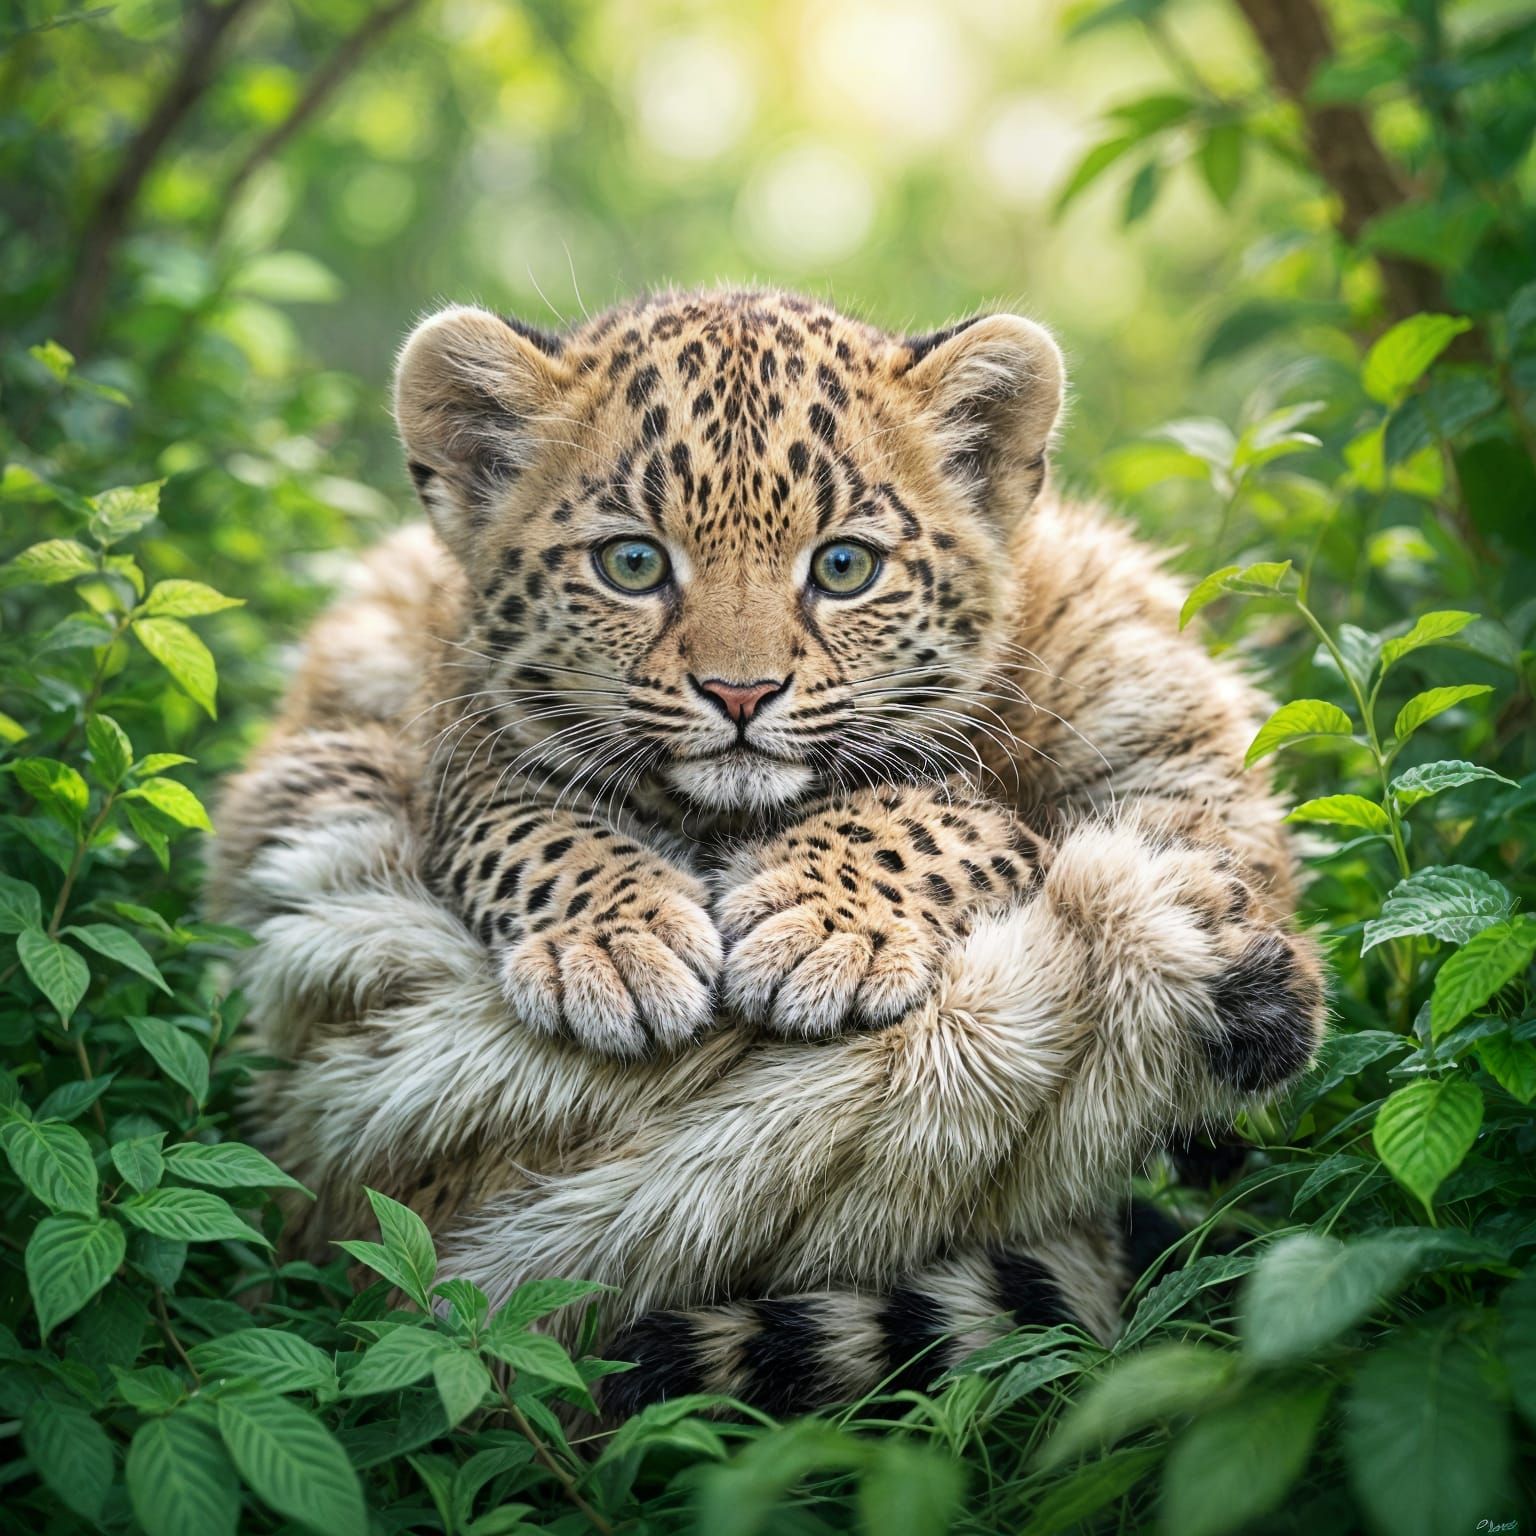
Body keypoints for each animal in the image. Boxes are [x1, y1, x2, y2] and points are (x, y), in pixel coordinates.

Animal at [212, 287, 1326, 1418]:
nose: (739, 694)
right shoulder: (459, 744)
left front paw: (817, 935)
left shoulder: (1015, 796)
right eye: (632, 563)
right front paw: (617, 951)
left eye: (844, 566)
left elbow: (925, 815)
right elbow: (527, 825)